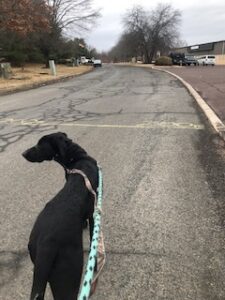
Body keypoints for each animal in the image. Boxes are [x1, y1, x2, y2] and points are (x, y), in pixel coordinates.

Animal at [22, 132, 98, 298]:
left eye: (39, 145)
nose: (23, 153)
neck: (78, 159)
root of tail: (46, 246)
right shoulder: (94, 213)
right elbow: (92, 239)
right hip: (68, 276)